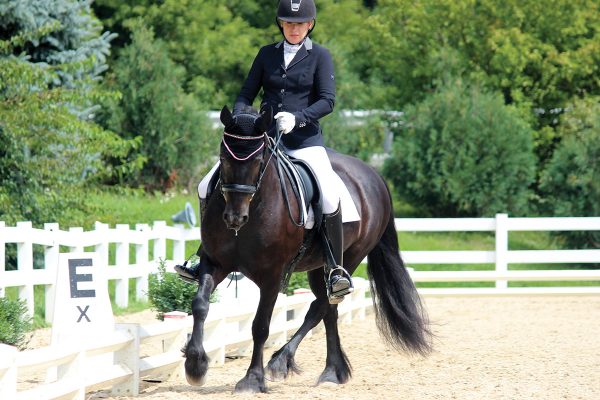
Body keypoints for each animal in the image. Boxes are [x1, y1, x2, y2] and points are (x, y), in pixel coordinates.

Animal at [183, 104, 432, 392]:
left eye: (258, 162)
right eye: (223, 158)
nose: (234, 218)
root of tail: (373, 174)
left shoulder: (272, 276)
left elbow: (260, 325)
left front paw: (252, 379)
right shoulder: (215, 263)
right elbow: (200, 305)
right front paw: (195, 365)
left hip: (349, 258)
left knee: (320, 306)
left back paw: (282, 362)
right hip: (318, 266)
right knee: (328, 309)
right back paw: (332, 371)